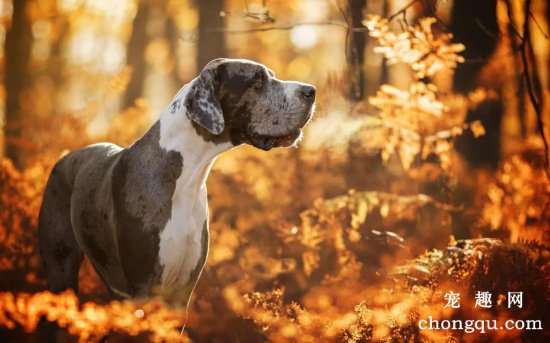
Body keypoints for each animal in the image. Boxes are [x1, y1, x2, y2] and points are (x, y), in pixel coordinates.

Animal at [37, 57, 314, 308]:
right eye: (257, 81)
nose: (311, 91)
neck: (186, 179)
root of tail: (65, 157)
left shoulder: (183, 292)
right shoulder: (144, 286)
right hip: (61, 268)